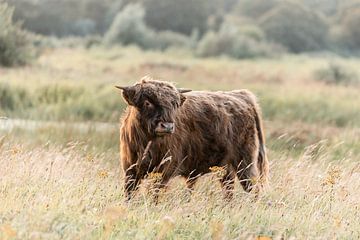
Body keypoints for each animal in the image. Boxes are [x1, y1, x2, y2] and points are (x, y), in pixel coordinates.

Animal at [116, 77, 268, 201]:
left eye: (174, 104)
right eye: (147, 102)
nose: (167, 126)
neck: (147, 142)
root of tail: (241, 95)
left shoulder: (164, 170)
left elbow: (155, 195)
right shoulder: (130, 169)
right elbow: (129, 194)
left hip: (245, 162)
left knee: (252, 188)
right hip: (226, 166)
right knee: (228, 189)